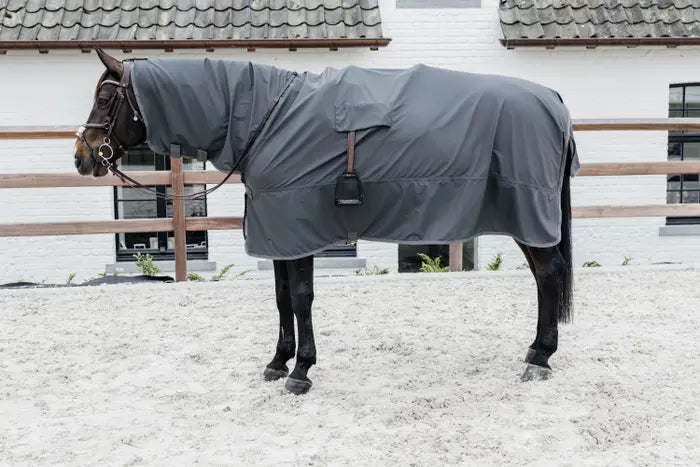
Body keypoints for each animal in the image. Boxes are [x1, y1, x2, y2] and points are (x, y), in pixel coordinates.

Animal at [74, 49, 576, 395]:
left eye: (105, 97)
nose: (81, 157)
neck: (266, 120)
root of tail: (552, 98)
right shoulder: (277, 234)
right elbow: (281, 299)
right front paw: (278, 362)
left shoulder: (299, 230)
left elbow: (300, 298)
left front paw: (301, 371)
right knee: (542, 277)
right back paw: (535, 351)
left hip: (530, 214)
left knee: (549, 274)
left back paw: (541, 359)